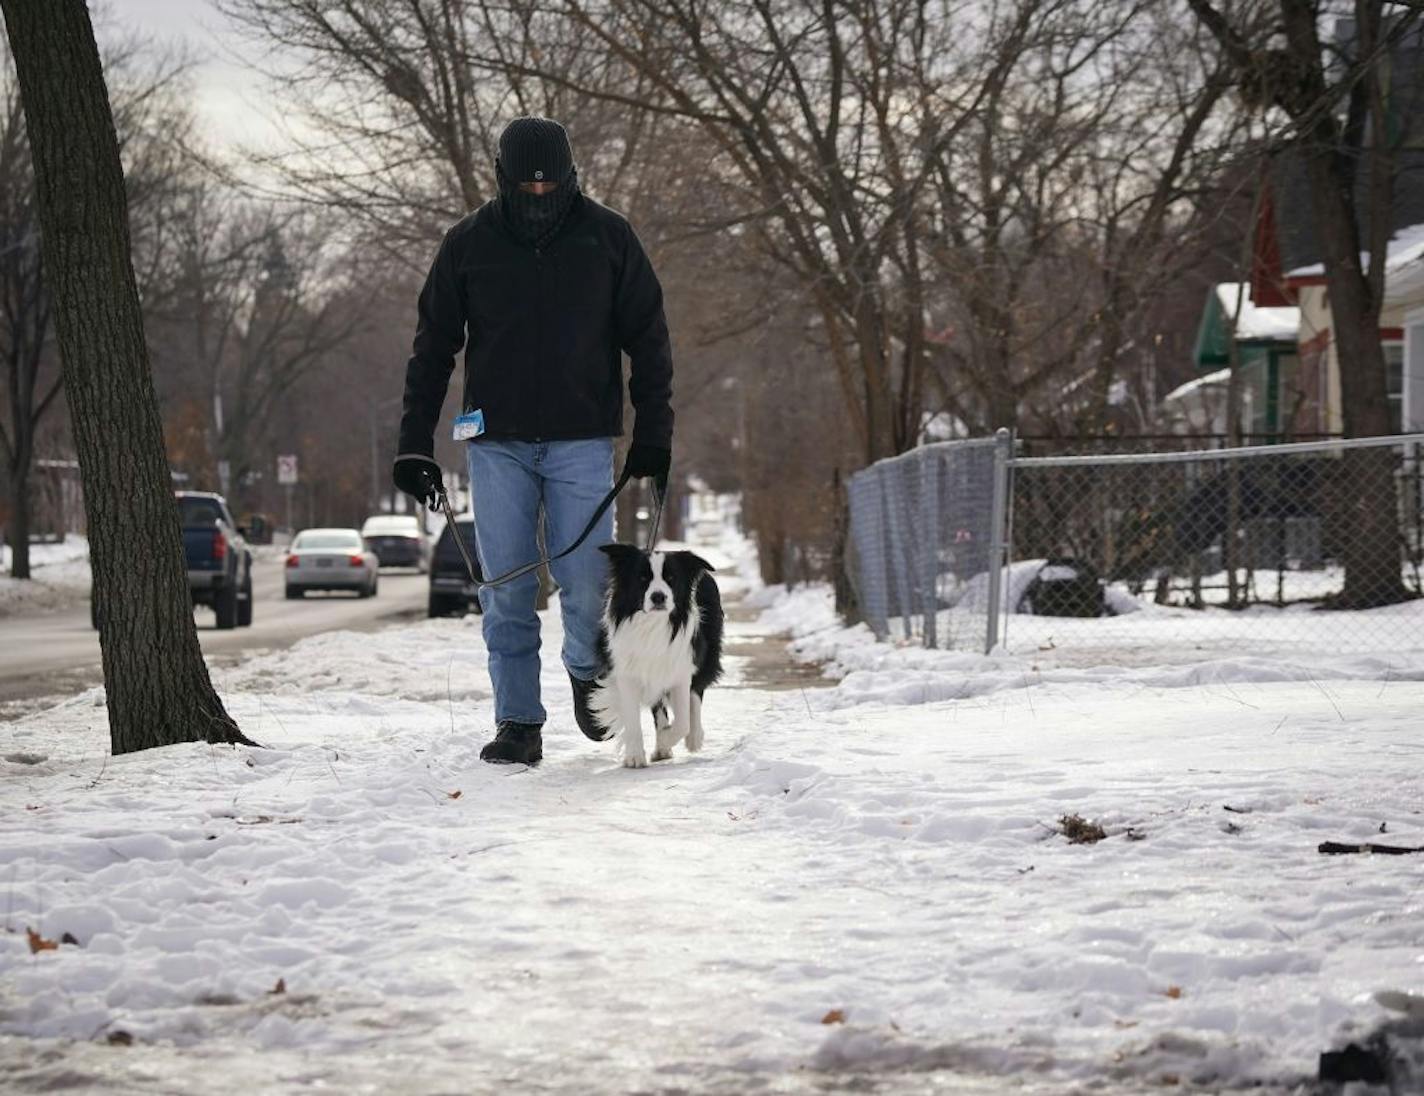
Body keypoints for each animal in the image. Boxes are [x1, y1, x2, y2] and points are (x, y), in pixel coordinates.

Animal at [589, 540, 723, 762]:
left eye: (671, 579)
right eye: (642, 578)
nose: (658, 596)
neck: (653, 624)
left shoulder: (680, 669)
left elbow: (683, 723)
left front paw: (666, 739)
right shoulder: (627, 672)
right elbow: (632, 718)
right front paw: (635, 756)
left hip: (706, 652)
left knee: (696, 693)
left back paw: (693, 737)